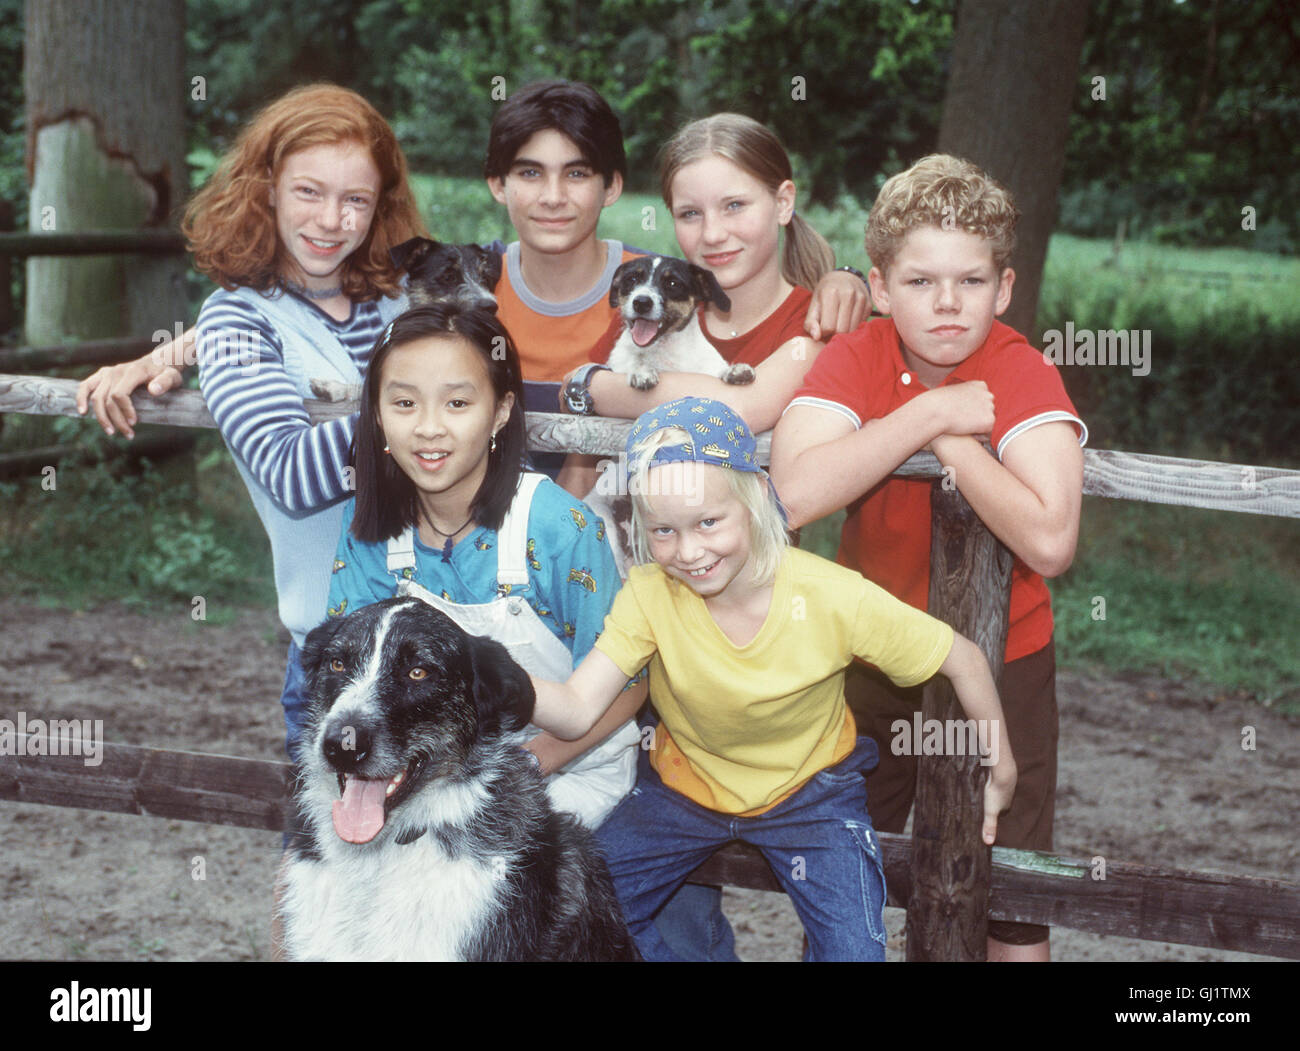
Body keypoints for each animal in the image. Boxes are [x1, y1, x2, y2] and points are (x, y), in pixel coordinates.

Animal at [603, 256, 759, 392]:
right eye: (632, 278)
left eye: (673, 283)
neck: (664, 351)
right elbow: (636, 361)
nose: (641, 303)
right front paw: (641, 371)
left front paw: (732, 371)